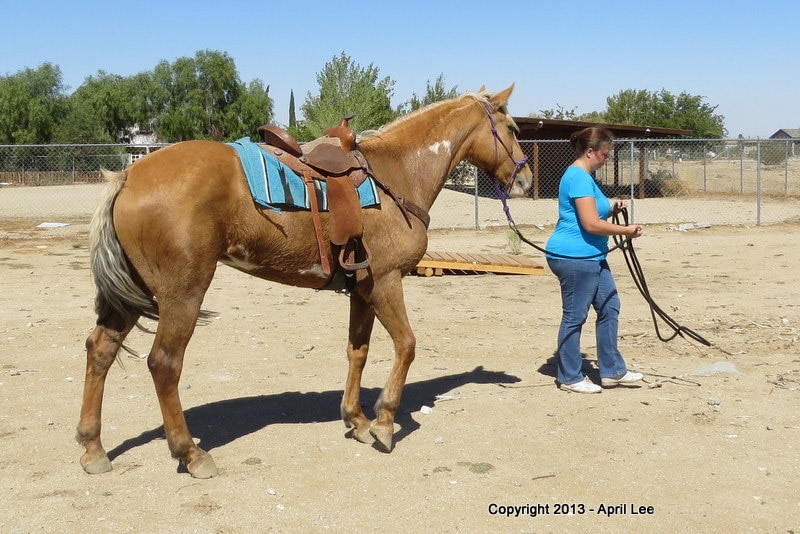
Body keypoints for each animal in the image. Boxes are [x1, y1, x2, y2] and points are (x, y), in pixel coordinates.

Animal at [78, 85, 536, 482]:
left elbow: (357, 351)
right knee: (164, 363)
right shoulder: (387, 282)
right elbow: (406, 345)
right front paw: (385, 422)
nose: (526, 181)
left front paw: (357, 420)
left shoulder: (362, 290)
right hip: (182, 294)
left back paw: (93, 448)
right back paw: (190, 453)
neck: (399, 172)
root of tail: (128, 175)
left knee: (100, 349)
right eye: (514, 130)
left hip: (132, 296)